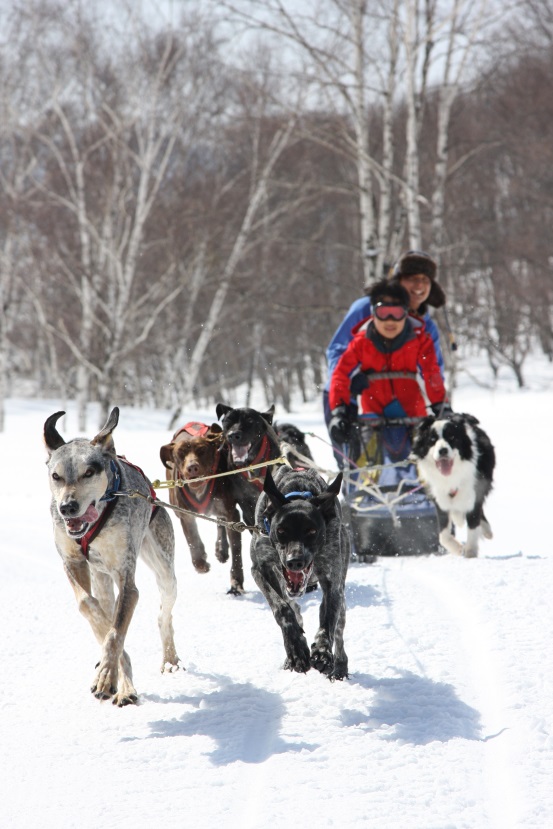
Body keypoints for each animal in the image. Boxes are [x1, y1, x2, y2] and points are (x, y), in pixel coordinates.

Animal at [44, 408, 181, 704]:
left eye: (89, 472)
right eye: (56, 476)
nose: (67, 507)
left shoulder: (126, 579)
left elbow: (116, 632)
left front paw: (107, 675)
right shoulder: (73, 563)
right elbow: (91, 609)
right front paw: (114, 670)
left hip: (165, 570)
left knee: (164, 615)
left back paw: (167, 660)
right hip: (102, 579)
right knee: (104, 605)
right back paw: (125, 682)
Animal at [250, 466, 350, 680]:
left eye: (312, 531)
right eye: (281, 530)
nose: (295, 561)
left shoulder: (332, 583)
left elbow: (328, 621)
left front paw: (322, 652)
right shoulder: (259, 570)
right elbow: (282, 609)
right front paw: (296, 649)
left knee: (339, 630)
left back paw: (340, 665)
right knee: (294, 609)